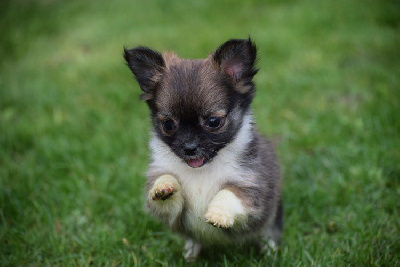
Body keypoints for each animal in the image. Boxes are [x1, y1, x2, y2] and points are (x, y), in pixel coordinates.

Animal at [123, 38, 282, 262]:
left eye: (213, 122)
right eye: (168, 125)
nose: (190, 148)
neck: (202, 171)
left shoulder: (251, 187)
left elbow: (229, 193)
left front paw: (218, 213)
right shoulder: (173, 215)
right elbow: (166, 188)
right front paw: (163, 187)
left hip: (271, 221)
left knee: (268, 236)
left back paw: (270, 253)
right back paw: (190, 254)